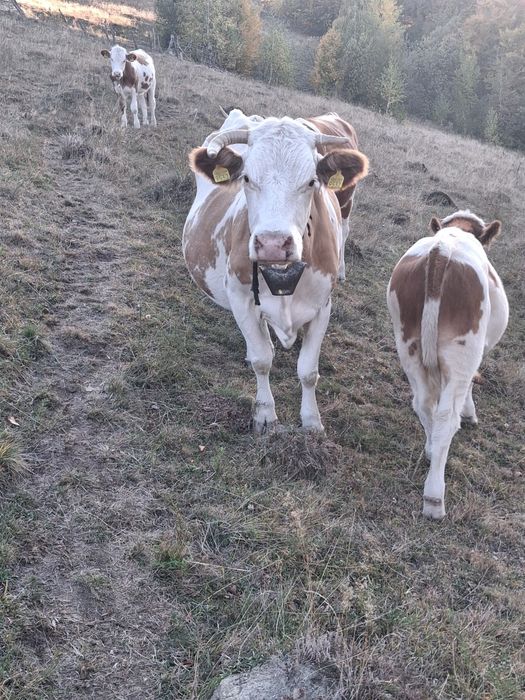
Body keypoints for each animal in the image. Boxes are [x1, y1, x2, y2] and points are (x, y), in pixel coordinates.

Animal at [183, 111, 369, 433]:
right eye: (247, 178)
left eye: (311, 182)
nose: (272, 243)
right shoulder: (240, 297)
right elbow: (262, 360)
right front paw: (265, 414)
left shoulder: (323, 306)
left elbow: (308, 371)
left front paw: (311, 420)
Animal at [387, 210, 509, 519]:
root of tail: (442, 249)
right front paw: (469, 413)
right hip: (462, 352)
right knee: (445, 418)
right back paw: (434, 497)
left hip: (408, 346)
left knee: (423, 404)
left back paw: (431, 451)